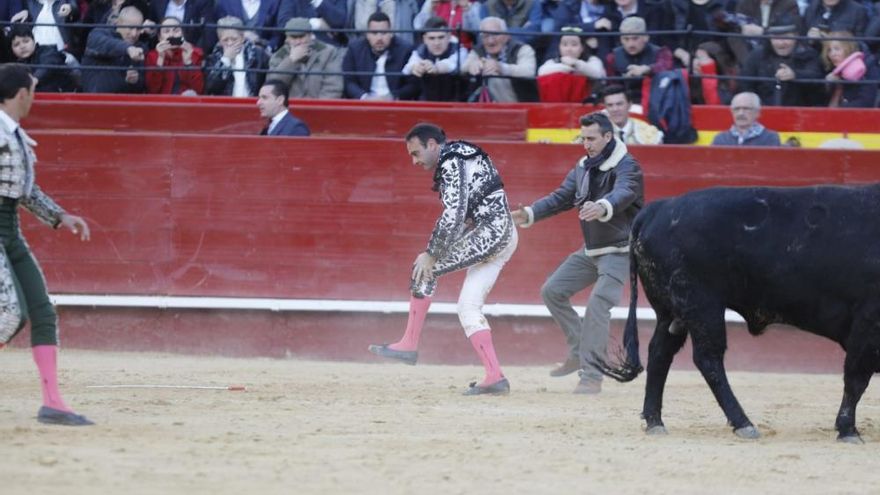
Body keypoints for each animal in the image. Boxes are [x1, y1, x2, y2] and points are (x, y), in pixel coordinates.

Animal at [600, 184, 880, 444]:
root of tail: (659, 207)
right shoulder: (868, 320)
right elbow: (856, 378)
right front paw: (848, 430)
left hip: (672, 312)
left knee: (660, 353)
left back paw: (655, 421)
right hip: (702, 305)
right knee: (708, 359)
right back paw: (743, 423)